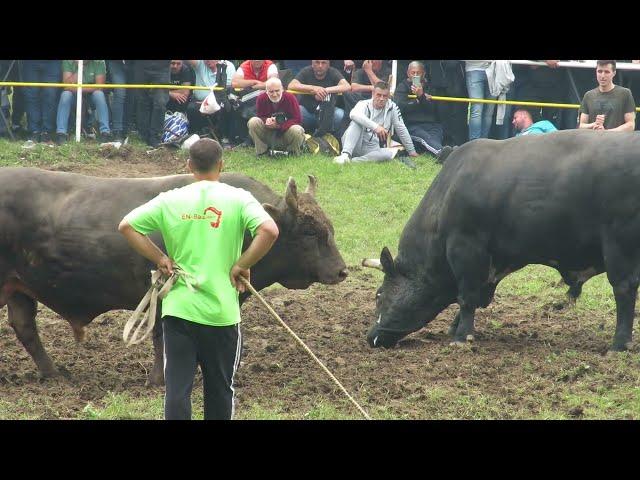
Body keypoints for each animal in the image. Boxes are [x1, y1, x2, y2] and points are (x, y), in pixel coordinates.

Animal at [0, 167, 350, 384]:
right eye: (309, 231)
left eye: (329, 226)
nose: (341, 270)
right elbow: (162, 339)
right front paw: (160, 379)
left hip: (19, 289)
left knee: (25, 328)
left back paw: (53, 373)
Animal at [364, 129, 640, 350]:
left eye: (379, 295)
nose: (370, 337)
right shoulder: (495, 261)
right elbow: (477, 295)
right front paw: (455, 328)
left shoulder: (465, 247)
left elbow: (466, 295)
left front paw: (462, 337)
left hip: (619, 248)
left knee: (624, 289)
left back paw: (619, 344)